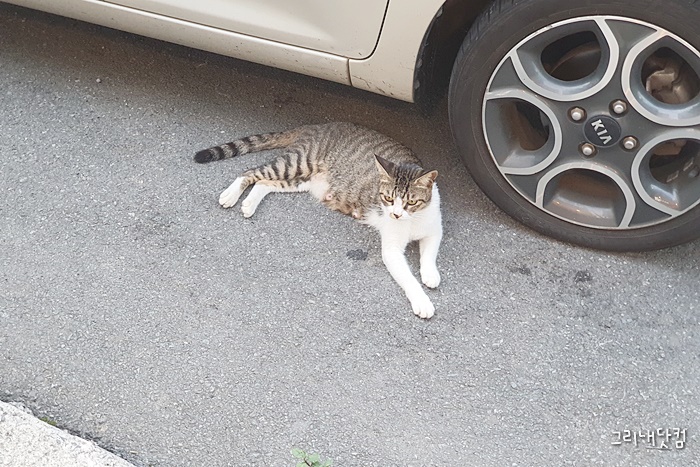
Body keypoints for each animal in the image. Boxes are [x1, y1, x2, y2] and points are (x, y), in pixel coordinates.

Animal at [194, 122, 442, 319]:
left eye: (411, 202)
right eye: (388, 198)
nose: (396, 214)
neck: (412, 221)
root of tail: (319, 124)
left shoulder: (434, 228)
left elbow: (429, 253)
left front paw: (430, 274)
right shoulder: (391, 249)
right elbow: (408, 279)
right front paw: (422, 301)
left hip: (302, 180)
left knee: (264, 183)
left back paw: (249, 203)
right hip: (297, 162)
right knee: (250, 172)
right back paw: (230, 195)